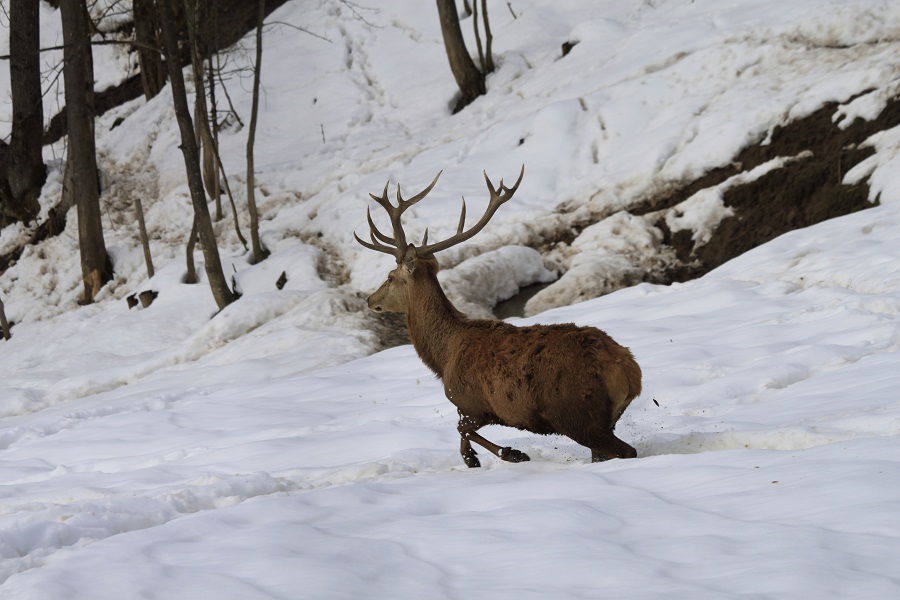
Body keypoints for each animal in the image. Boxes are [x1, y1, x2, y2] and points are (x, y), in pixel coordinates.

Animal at [356, 166, 644, 466]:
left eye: (390, 277)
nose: (370, 299)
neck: (443, 358)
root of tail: (629, 371)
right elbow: (464, 432)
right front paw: (494, 455)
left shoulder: (471, 403)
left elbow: (463, 431)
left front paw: (503, 454)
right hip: (601, 419)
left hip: (577, 414)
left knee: (627, 451)